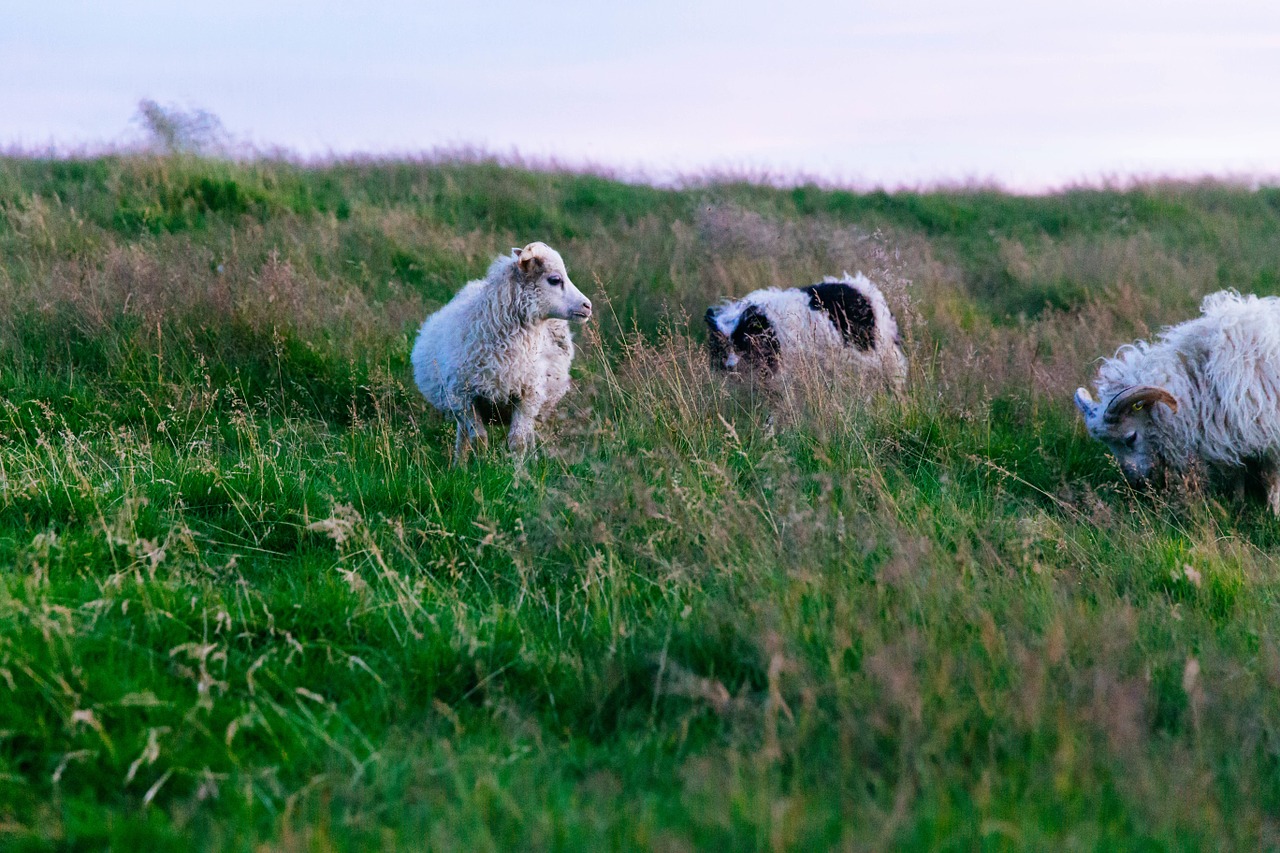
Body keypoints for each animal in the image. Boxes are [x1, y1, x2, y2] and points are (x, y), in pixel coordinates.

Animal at [412, 239, 591, 461]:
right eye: (555, 279)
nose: (588, 306)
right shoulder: (465, 398)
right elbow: (479, 440)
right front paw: (479, 467)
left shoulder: (527, 396)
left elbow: (518, 442)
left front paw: (517, 470)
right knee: (463, 436)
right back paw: (458, 464)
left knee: (529, 435)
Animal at [1075, 290, 1280, 512]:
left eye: (1131, 438)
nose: (1136, 483)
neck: (1199, 380)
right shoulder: (1230, 436)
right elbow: (1238, 475)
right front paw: (1237, 505)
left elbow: (1273, 480)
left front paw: (1272, 512)